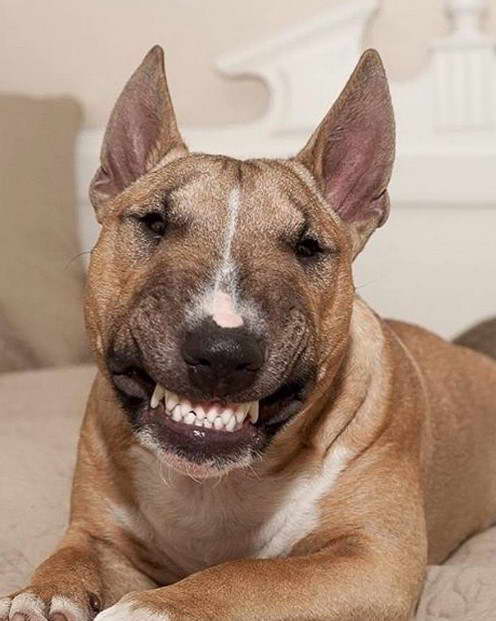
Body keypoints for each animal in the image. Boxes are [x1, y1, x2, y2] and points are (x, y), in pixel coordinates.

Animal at [0, 44, 496, 620]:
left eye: (307, 247)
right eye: (154, 223)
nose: (222, 352)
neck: (214, 486)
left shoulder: (375, 560)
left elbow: (249, 574)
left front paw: (153, 607)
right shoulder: (99, 533)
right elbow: (72, 555)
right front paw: (41, 593)